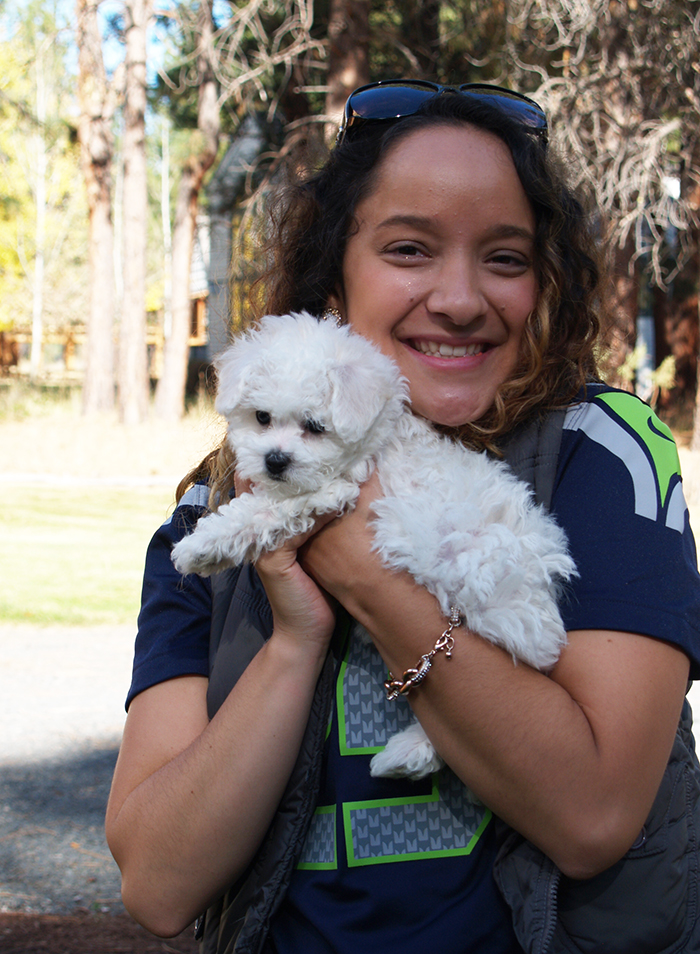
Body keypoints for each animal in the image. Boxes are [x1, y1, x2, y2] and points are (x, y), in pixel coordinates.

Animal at [170, 312, 576, 780]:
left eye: (315, 427)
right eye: (262, 417)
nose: (275, 460)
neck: (372, 441)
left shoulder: (332, 490)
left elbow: (262, 510)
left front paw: (200, 547)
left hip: (491, 611)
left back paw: (408, 751)